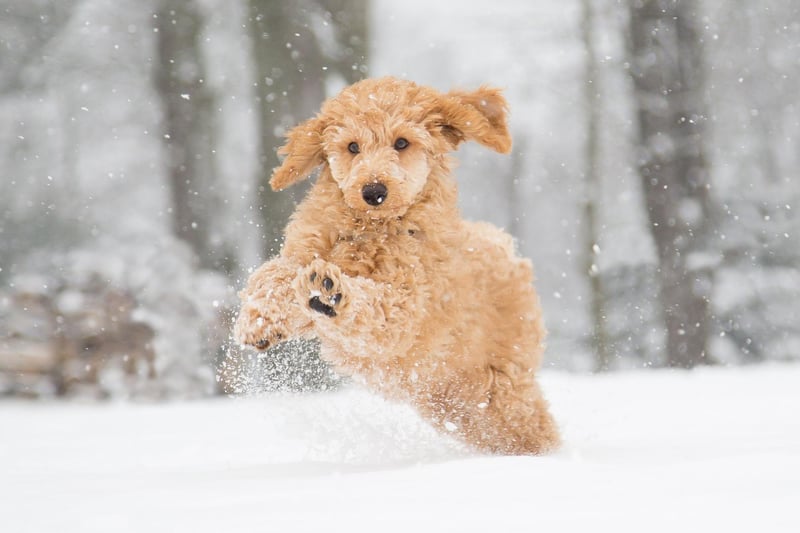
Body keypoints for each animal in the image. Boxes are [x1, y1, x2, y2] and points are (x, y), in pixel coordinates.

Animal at [234, 77, 560, 456]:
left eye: (402, 142)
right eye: (352, 146)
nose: (373, 191)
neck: (372, 229)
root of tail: (507, 250)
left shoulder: (407, 306)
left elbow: (376, 306)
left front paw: (333, 293)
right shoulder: (305, 252)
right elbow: (273, 275)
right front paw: (258, 321)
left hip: (501, 387)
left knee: (532, 427)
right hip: (450, 401)